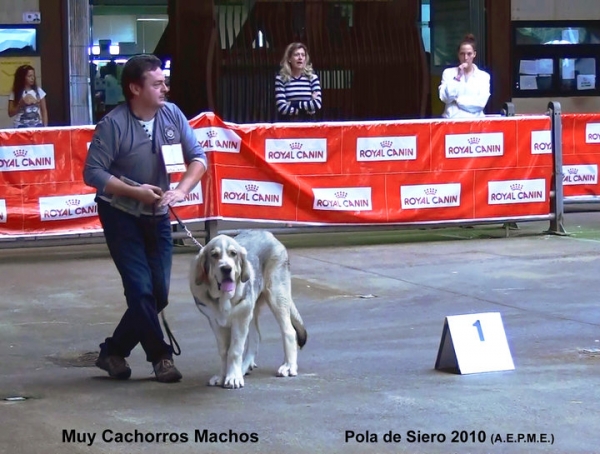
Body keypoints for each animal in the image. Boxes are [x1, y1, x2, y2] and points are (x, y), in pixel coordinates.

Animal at [190, 232, 308, 388]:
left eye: (233, 254)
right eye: (214, 255)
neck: (223, 298)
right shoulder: (216, 322)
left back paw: (288, 366)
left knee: (289, 331)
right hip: (252, 310)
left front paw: (233, 377)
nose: (226, 269)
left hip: (276, 296)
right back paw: (244, 367)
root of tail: (268, 234)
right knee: (255, 337)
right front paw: (223, 376)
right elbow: (224, 351)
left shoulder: (240, 317)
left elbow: (234, 351)